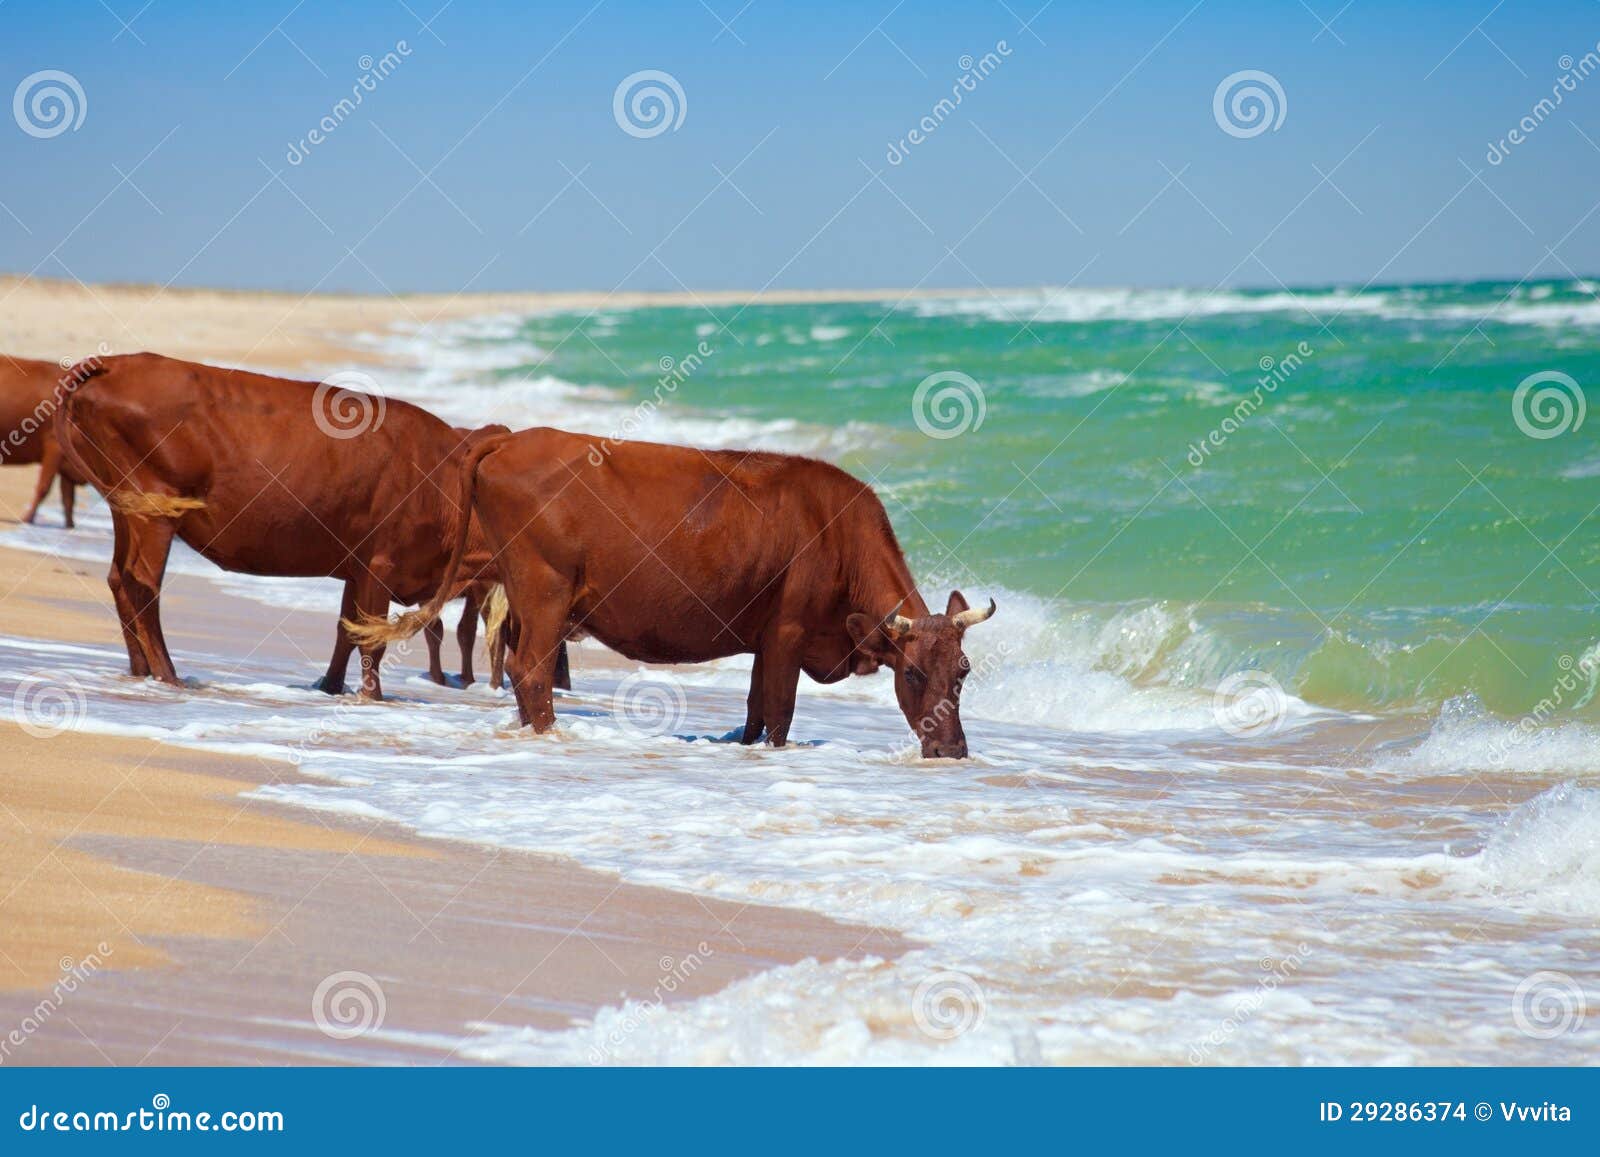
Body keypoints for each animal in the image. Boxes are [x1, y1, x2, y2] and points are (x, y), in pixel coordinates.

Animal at [1, 355, 88, 527]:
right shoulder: (54, 446)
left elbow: (68, 499)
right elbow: (43, 487)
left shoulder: (67, 465)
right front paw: (27, 518)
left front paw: (70, 526)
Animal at [52, 352, 560, 698]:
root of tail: (117, 362)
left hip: (127, 508)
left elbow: (346, 631)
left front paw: (329, 686)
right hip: (155, 511)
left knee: (119, 579)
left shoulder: (357, 565)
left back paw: (139, 670)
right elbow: (371, 639)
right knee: (142, 585)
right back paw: (168, 675)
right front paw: (372, 697)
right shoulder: (381, 562)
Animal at [349, 429, 996, 757]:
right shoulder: (788, 632)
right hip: (544, 590)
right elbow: (780, 714)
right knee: (530, 669)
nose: (953, 750)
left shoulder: (765, 639)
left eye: (962, 672)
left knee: (516, 667)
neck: (834, 531)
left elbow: (755, 709)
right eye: (912, 672)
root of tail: (513, 439)